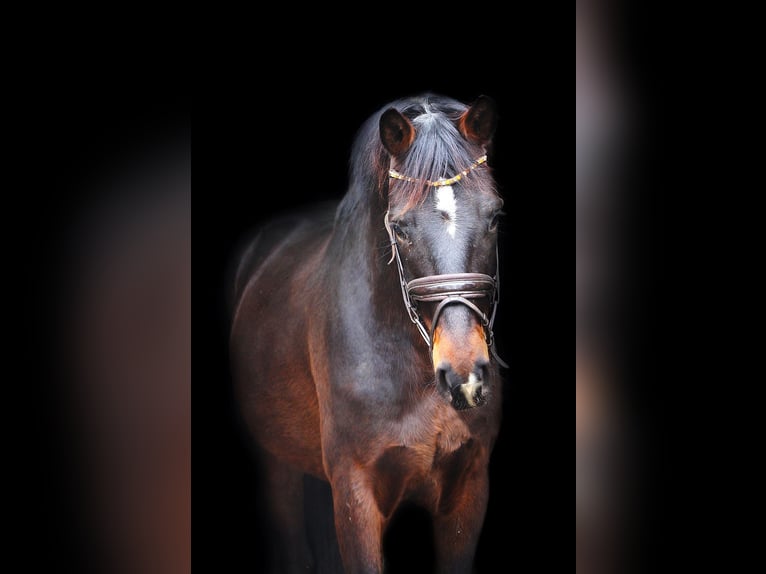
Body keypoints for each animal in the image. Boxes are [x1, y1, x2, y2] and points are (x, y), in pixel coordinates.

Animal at [229, 93, 506, 573]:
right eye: (400, 228)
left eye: (493, 217)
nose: (464, 377)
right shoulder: (355, 494)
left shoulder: (468, 490)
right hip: (276, 467)